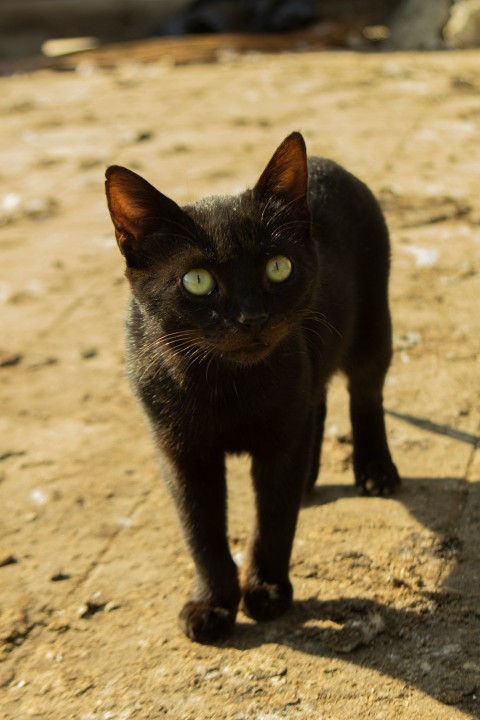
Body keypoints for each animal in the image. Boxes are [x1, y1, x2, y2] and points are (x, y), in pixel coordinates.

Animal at [106, 132, 402, 644]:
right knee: (318, 401)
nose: (252, 317)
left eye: (278, 267)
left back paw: (376, 470)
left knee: (364, 394)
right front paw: (211, 605)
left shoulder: (280, 442)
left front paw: (266, 590)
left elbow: (274, 518)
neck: (226, 387)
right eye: (197, 281)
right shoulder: (182, 452)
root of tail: (326, 162)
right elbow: (201, 531)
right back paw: (311, 479)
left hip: (371, 328)